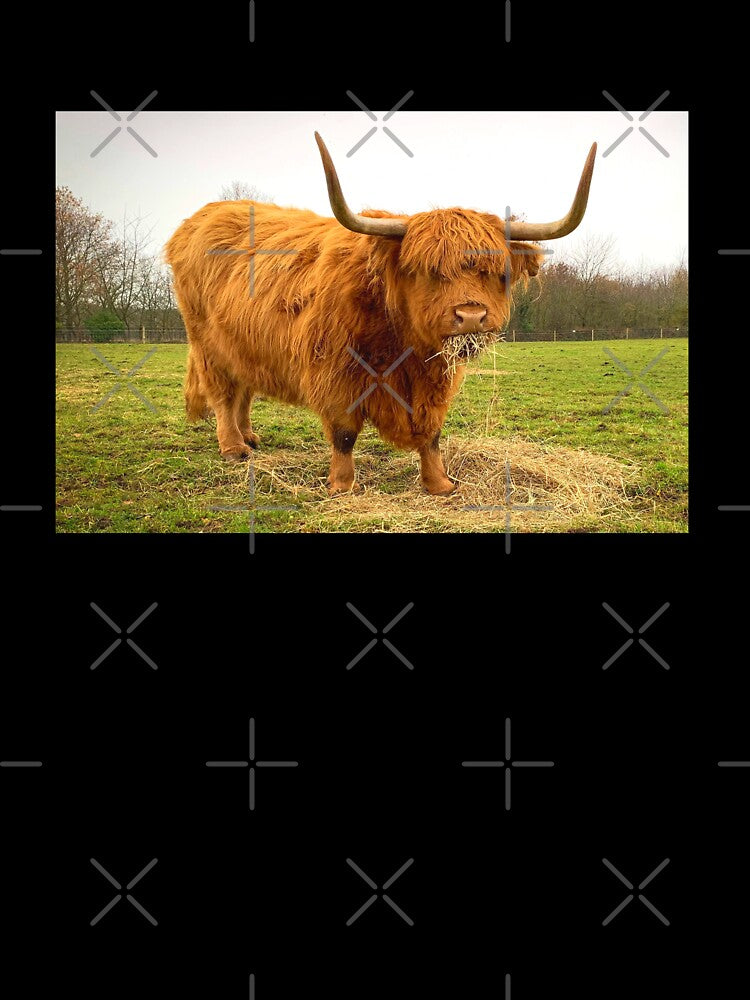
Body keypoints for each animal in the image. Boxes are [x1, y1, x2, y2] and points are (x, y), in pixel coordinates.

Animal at [165, 134, 596, 495]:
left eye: (494, 272)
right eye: (428, 270)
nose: (471, 316)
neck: (403, 343)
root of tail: (198, 220)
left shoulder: (434, 380)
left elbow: (431, 432)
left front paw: (440, 484)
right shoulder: (336, 374)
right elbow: (343, 433)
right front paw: (342, 485)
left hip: (244, 344)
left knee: (244, 390)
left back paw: (250, 438)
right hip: (207, 343)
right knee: (224, 394)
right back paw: (234, 447)